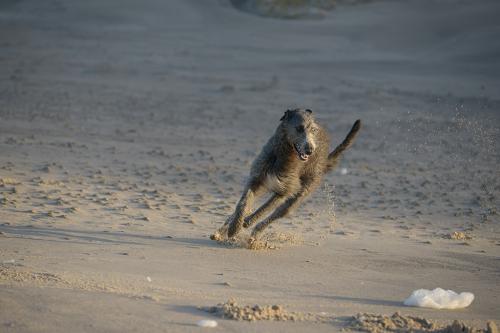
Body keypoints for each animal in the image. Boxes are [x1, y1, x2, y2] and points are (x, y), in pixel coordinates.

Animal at [211, 107, 360, 245]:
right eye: (299, 128)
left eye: (313, 130)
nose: (310, 150)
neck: (283, 155)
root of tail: (324, 161)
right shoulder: (256, 180)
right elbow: (243, 203)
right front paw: (234, 228)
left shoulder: (284, 192)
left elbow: (265, 209)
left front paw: (248, 222)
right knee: (248, 207)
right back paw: (223, 230)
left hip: (300, 194)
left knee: (276, 214)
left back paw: (254, 233)